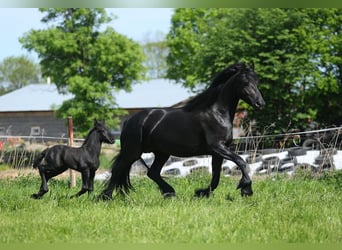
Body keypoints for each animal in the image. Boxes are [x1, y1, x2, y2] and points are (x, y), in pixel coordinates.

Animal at [100, 62, 266, 199]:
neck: (216, 113)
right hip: (133, 152)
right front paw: (246, 189)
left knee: (152, 172)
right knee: (117, 171)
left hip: (161, 153)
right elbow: (241, 161)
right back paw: (104, 197)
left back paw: (170, 193)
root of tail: (130, 121)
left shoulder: (218, 152)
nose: (260, 104)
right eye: (245, 82)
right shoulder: (217, 147)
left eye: (257, 81)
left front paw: (201, 193)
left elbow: (216, 177)